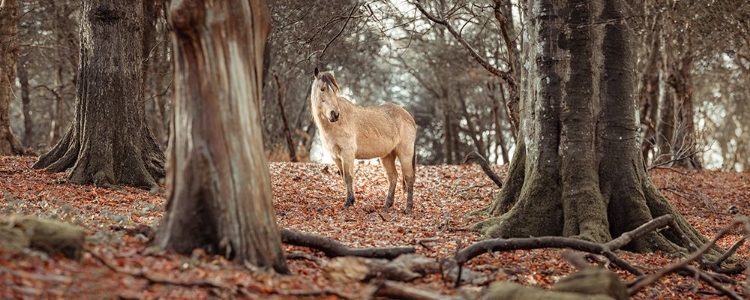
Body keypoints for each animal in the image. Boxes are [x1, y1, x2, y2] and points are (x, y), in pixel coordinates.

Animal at [310, 67, 420, 213]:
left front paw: (349, 202)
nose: (335, 115)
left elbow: (349, 177)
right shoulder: (335, 157)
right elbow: (344, 177)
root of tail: (409, 117)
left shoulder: (347, 154)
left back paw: (408, 208)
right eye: (322, 89)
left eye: (334, 90)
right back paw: (387, 206)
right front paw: (350, 201)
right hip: (387, 156)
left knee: (409, 178)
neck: (336, 124)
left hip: (405, 154)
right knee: (393, 177)